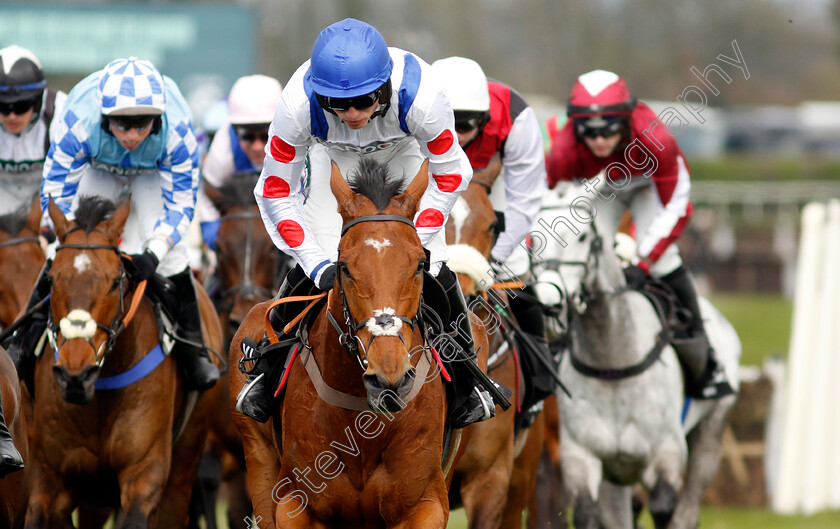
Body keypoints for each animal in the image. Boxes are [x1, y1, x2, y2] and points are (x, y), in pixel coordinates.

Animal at [25, 197, 223, 528]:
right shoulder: (49, 477)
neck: (99, 394)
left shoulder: (143, 473)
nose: (76, 375)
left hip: (187, 457)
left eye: (115, 280)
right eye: (51, 280)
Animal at [230, 158, 492, 528]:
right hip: (258, 458)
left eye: (420, 265)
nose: (388, 379)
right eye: (344, 267)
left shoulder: (425, 503)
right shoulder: (295, 504)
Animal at [536, 183, 740, 528]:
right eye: (531, 237)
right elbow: (588, 514)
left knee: (688, 508)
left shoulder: (666, 458)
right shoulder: (581, 458)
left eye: (582, 237)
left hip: (710, 436)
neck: (612, 361)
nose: (550, 305)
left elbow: (663, 508)